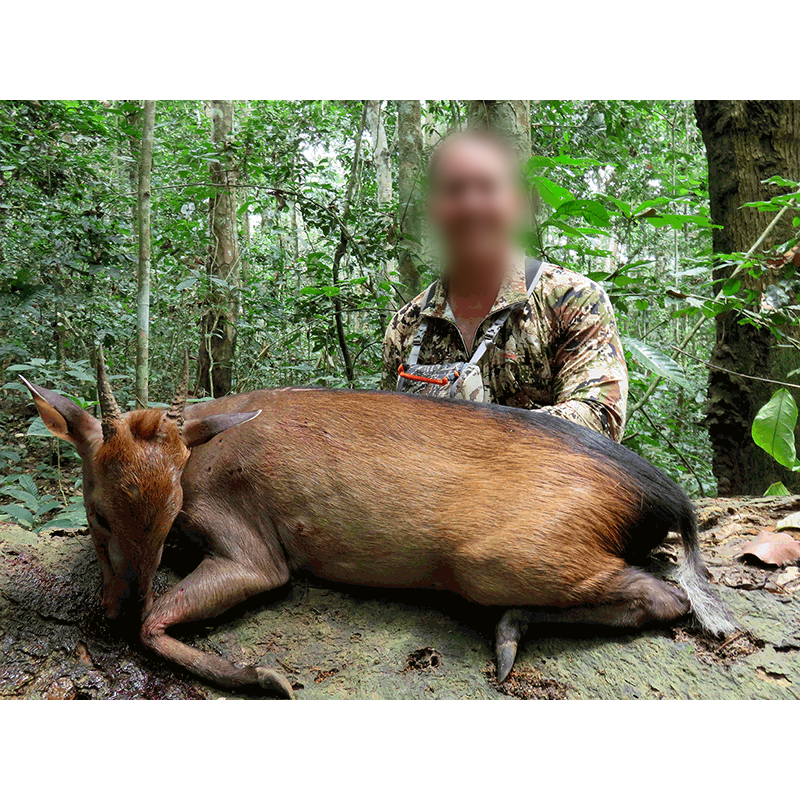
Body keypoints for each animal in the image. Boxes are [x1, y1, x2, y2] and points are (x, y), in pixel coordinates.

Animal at [18, 350, 736, 692]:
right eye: (98, 513)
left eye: (171, 516)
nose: (116, 606)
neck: (203, 447)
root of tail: (668, 496)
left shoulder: (254, 545)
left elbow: (156, 625)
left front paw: (266, 678)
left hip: (499, 554)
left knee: (668, 596)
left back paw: (509, 633)